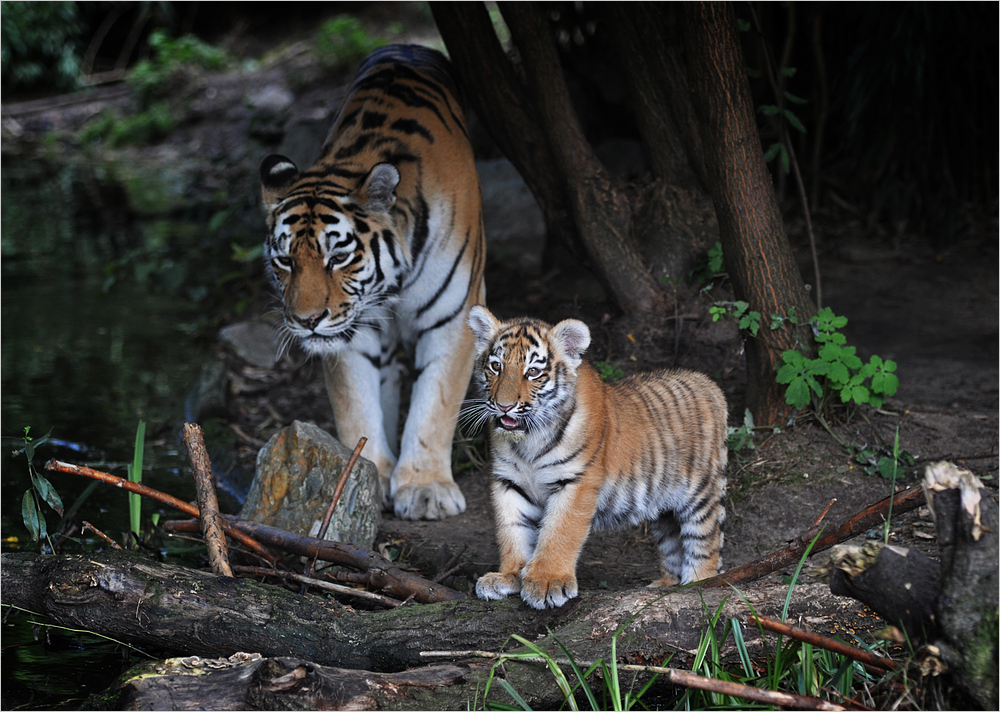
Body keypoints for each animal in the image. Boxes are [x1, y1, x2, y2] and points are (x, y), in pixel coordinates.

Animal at [260, 47, 486, 520]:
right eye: (285, 260)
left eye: (338, 257)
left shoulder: (452, 317)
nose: (306, 321)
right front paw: (363, 475)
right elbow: (355, 405)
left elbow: (434, 403)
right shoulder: (352, 331)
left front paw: (425, 489)